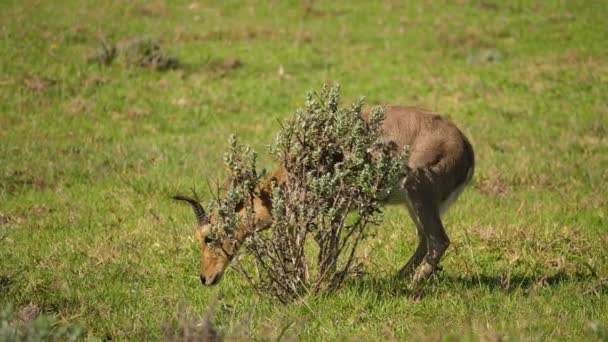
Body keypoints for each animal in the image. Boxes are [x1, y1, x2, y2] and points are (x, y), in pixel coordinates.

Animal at [173, 106, 472, 286]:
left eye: (208, 237)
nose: (205, 277)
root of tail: (467, 147)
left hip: (418, 193)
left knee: (438, 240)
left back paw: (411, 286)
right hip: (417, 206)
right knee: (424, 240)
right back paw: (396, 278)